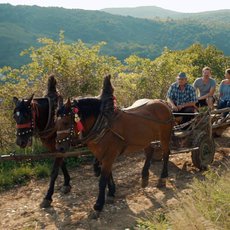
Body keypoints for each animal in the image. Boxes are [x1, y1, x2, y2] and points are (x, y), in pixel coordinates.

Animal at [12, 74, 71, 208]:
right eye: (15, 117)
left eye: (27, 115)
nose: (20, 142)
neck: (52, 118)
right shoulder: (55, 147)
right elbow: (62, 164)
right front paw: (67, 184)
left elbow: (54, 171)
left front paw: (48, 197)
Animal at [55, 75, 172, 217]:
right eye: (56, 122)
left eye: (66, 122)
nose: (59, 148)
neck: (103, 124)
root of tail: (163, 102)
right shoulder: (102, 155)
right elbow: (107, 174)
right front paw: (111, 193)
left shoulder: (109, 155)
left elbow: (102, 180)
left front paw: (98, 205)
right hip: (144, 139)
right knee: (150, 152)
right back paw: (144, 177)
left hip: (165, 137)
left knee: (166, 153)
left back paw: (162, 178)